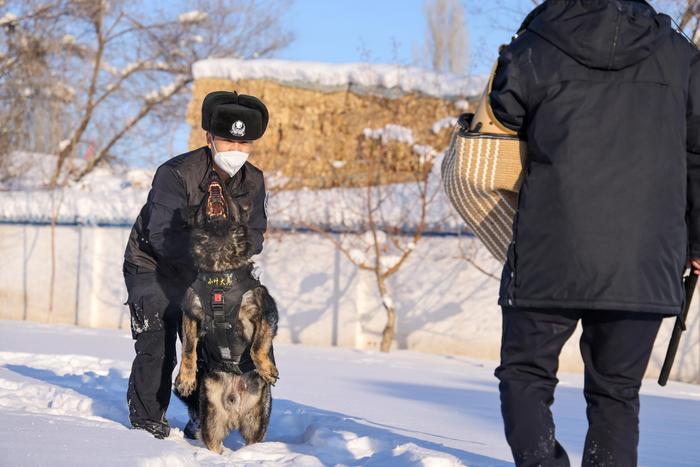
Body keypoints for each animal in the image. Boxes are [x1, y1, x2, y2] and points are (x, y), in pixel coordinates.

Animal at [174, 175, 280, 454]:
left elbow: (258, 345)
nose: (214, 177)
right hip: (212, 418)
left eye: (230, 196)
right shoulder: (190, 315)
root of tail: (234, 406)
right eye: (202, 199)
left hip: (256, 422)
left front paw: (267, 368)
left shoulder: (266, 311)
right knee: (212, 442)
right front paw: (185, 379)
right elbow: (188, 350)